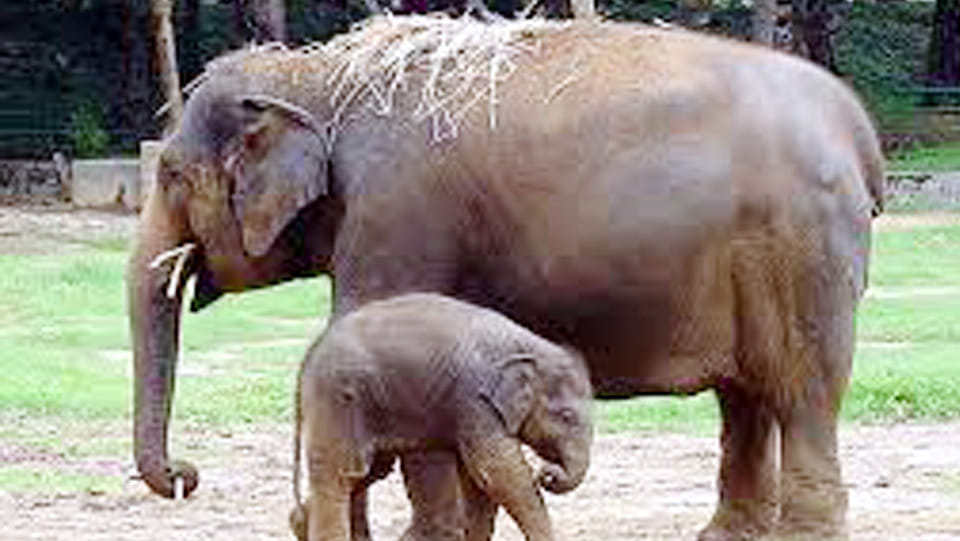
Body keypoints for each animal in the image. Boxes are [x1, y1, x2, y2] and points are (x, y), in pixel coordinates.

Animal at [287, 293, 593, 541]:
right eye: (566, 416)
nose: (547, 474)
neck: (528, 345)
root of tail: (310, 353)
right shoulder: (476, 401)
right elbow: (498, 472)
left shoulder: (469, 408)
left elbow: (478, 481)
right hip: (337, 398)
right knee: (340, 473)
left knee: (369, 469)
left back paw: (299, 524)